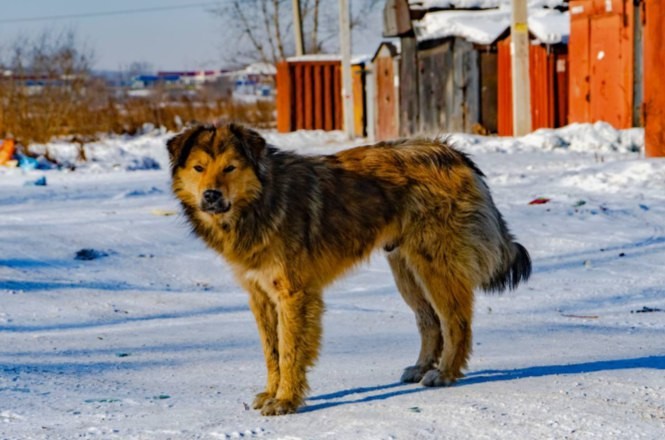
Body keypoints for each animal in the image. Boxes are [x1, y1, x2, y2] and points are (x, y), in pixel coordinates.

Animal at [167, 123, 528, 416]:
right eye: (199, 168)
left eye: (230, 167)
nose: (211, 195)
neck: (262, 201)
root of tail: (453, 153)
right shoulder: (260, 295)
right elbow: (272, 351)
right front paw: (272, 393)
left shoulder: (293, 294)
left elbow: (289, 351)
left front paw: (286, 400)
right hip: (407, 272)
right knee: (429, 323)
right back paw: (421, 367)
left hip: (434, 266)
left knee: (455, 323)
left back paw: (446, 373)